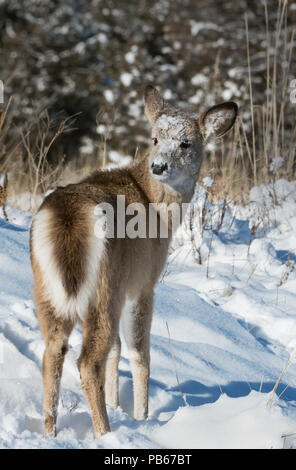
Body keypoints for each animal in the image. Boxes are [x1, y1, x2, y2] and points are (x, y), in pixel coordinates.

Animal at [30, 83, 238, 436]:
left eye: (186, 143)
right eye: (154, 138)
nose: (159, 166)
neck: (159, 209)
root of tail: (68, 219)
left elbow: (116, 351)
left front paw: (118, 405)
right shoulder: (142, 282)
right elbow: (140, 353)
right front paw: (141, 415)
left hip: (46, 290)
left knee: (53, 354)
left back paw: (51, 432)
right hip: (104, 289)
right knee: (88, 361)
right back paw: (105, 432)